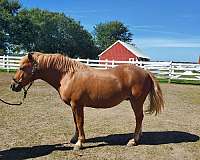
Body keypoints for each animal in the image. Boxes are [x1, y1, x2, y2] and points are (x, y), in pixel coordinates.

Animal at [10, 52, 163, 150]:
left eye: (22, 67)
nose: (13, 86)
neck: (68, 75)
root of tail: (145, 72)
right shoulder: (73, 106)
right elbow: (75, 122)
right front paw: (74, 139)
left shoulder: (77, 105)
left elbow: (79, 122)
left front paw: (79, 143)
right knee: (140, 118)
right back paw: (138, 137)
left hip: (136, 101)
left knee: (139, 118)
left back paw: (133, 140)